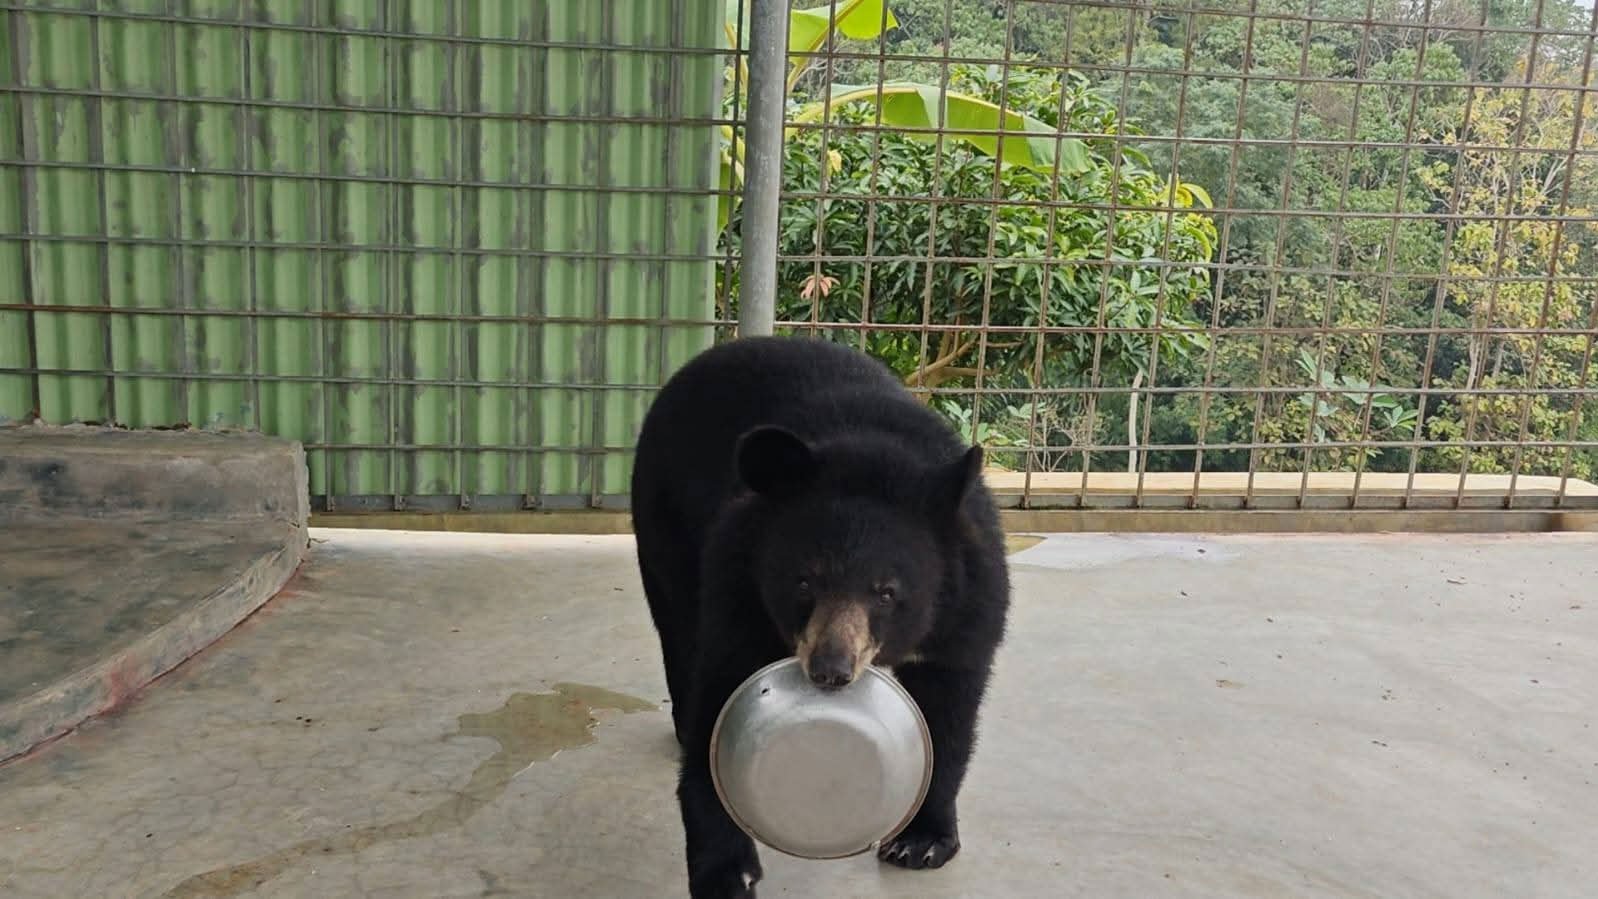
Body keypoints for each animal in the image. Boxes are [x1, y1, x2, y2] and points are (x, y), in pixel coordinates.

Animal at [630, 335, 1011, 899]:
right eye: (804, 582)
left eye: (887, 593)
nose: (831, 670)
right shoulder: (738, 581)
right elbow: (719, 698)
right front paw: (726, 871)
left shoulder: (971, 600)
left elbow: (950, 706)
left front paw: (921, 842)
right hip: (663, 518)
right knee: (679, 628)